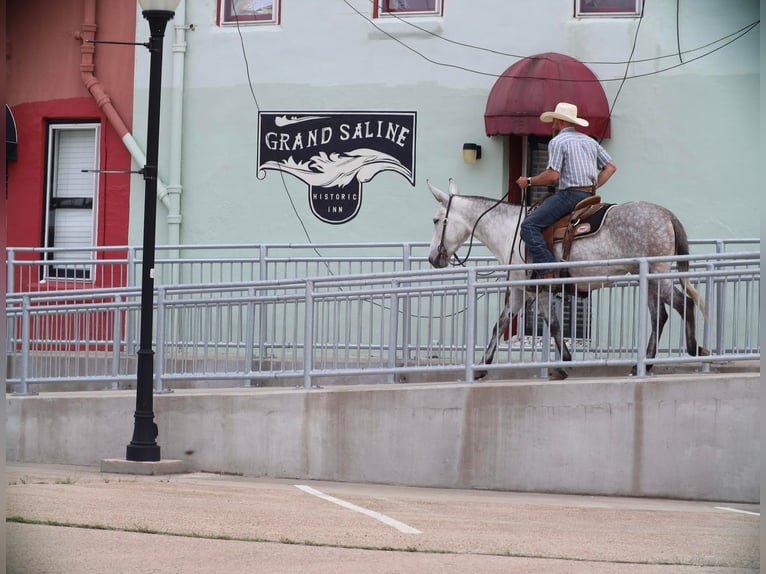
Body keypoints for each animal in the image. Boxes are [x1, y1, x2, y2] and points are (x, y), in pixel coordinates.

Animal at [426, 178, 708, 380]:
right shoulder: (520, 289)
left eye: (437, 220)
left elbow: (551, 324)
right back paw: (648, 363)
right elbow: (504, 323)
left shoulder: (536, 288)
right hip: (650, 278)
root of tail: (666, 214)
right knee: (661, 314)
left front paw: (563, 364)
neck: (510, 231)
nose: (432, 258)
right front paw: (483, 366)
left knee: (681, 304)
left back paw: (693, 349)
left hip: (658, 275)